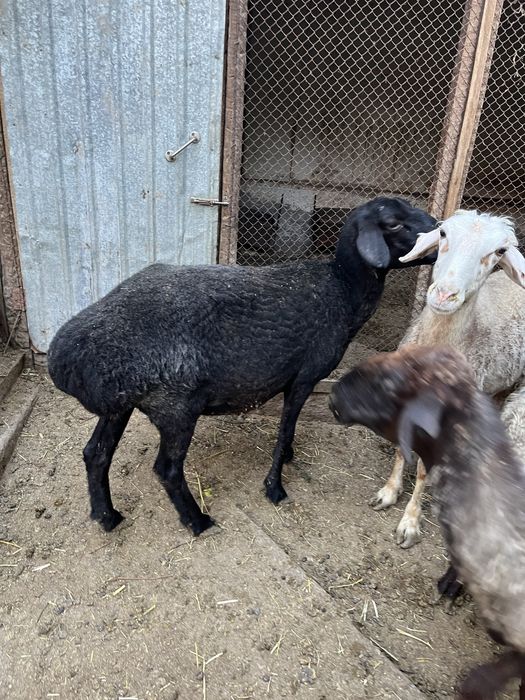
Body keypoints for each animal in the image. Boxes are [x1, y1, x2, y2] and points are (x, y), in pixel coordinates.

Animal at [47, 197, 437, 535]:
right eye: (393, 222)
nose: (440, 230)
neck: (342, 289)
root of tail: (67, 361)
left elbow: (288, 431)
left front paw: (289, 457)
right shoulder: (305, 377)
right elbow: (284, 429)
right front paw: (275, 487)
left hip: (120, 404)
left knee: (95, 454)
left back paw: (106, 516)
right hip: (175, 407)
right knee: (167, 469)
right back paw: (197, 521)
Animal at [369, 210, 525, 548]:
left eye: (500, 251)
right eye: (442, 234)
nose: (444, 295)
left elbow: (424, 471)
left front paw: (410, 522)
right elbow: (401, 447)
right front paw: (388, 492)